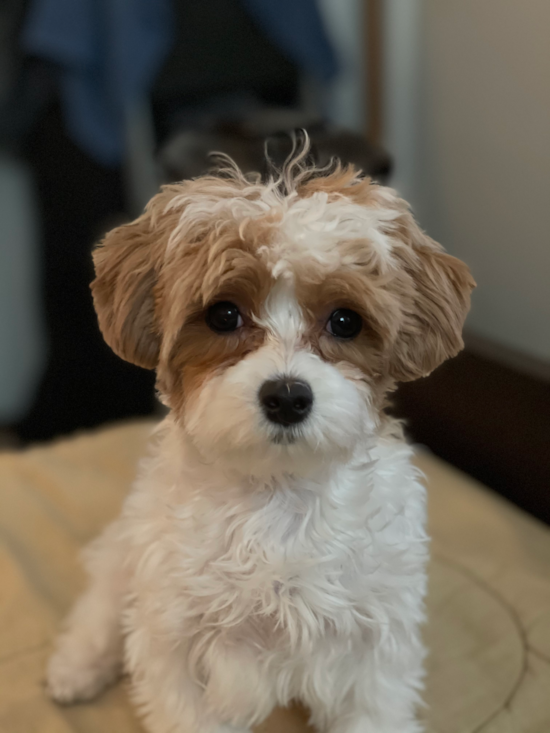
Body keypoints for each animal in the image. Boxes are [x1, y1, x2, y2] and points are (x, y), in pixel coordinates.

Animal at [47, 139, 476, 732]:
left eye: (345, 321)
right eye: (224, 315)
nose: (288, 397)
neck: (279, 497)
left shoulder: (372, 643)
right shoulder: (176, 641)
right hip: (127, 557)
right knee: (102, 606)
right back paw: (77, 665)